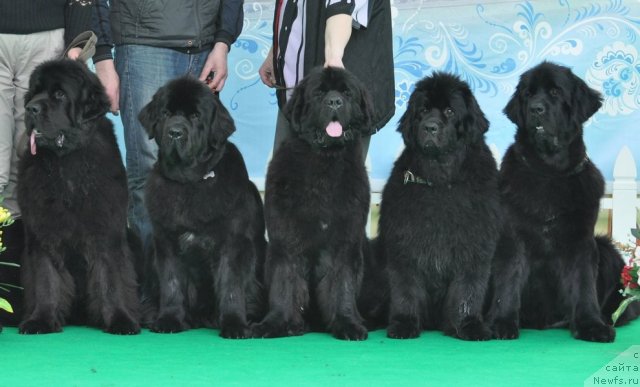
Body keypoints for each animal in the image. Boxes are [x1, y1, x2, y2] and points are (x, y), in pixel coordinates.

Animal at [18, 59, 140, 334]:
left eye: (59, 94)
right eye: (34, 92)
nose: (30, 108)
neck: (66, 163)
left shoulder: (106, 229)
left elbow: (111, 278)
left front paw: (120, 320)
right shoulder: (43, 231)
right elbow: (46, 279)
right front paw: (40, 320)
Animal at [138, 76, 264, 340]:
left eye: (196, 116)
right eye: (166, 113)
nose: (175, 132)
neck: (190, 182)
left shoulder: (233, 244)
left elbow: (230, 285)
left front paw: (234, 324)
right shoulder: (166, 242)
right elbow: (172, 284)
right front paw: (169, 320)